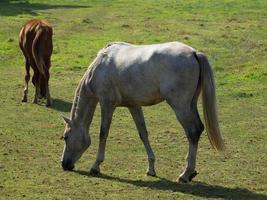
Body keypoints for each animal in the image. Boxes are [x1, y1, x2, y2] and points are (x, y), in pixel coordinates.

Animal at [60, 41, 224, 183]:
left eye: (66, 137)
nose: (64, 164)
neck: (99, 66)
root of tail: (194, 53)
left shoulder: (107, 104)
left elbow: (103, 133)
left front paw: (96, 166)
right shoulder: (134, 106)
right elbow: (143, 134)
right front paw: (151, 168)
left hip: (180, 107)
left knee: (193, 131)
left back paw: (185, 174)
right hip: (190, 104)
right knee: (198, 129)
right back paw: (190, 173)